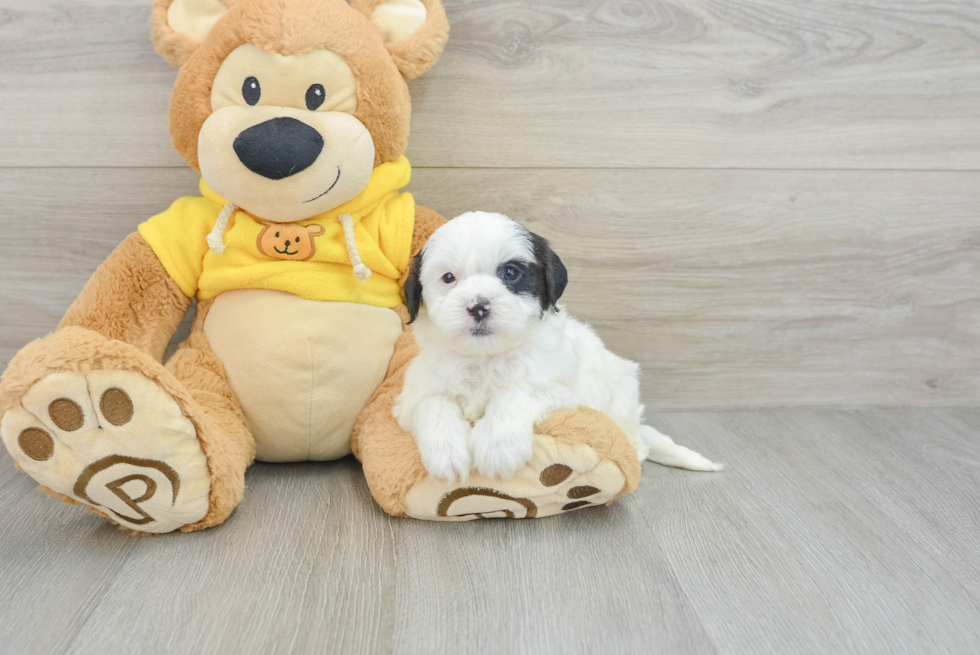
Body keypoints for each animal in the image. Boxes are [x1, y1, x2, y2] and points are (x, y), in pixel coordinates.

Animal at [390, 213, 720, 480]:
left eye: (510, 273)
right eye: (448, 278)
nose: (479, 306)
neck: (487, 357)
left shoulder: (559, 391)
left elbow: (515, 392)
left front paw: (499, 444)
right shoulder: (416, 393)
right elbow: (433, 404)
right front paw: (446, 453)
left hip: (621, 392)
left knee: (634, 438)